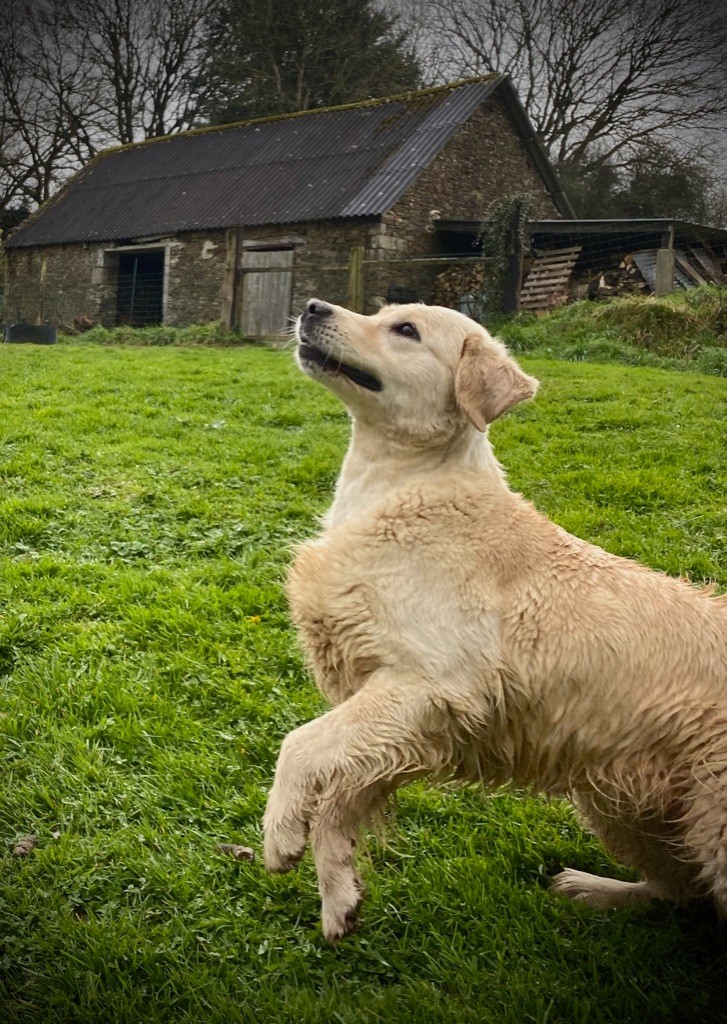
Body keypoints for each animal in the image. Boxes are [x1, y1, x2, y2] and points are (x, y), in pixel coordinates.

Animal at [264, 294, 727, 937]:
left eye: (405, 330)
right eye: (380, 312)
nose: (311, 306)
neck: (406, 484)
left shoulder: (432, 685)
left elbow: (300, 745)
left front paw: (280, 832)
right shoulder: (392, 713)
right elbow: (338, 800)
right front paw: (339, 897)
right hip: (619, 800)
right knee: (680, 892)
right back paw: (598, 889)